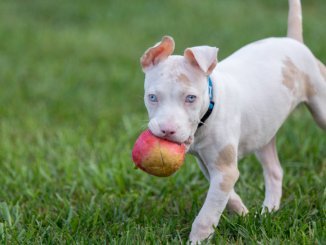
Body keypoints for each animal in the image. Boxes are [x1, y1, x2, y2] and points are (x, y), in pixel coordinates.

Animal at [139, 0, 324, 242]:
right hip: (263, 130)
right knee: (274, 171)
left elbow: (207, 214)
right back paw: (268, 212)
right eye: (152, 97)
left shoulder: (223, 169)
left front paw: (197, 240)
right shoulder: (209, 165)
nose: (166, 131)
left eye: (191, 98)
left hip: (320, 103)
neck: (209, 109)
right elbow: (225, 197)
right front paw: (245, 215)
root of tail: (293, 41)